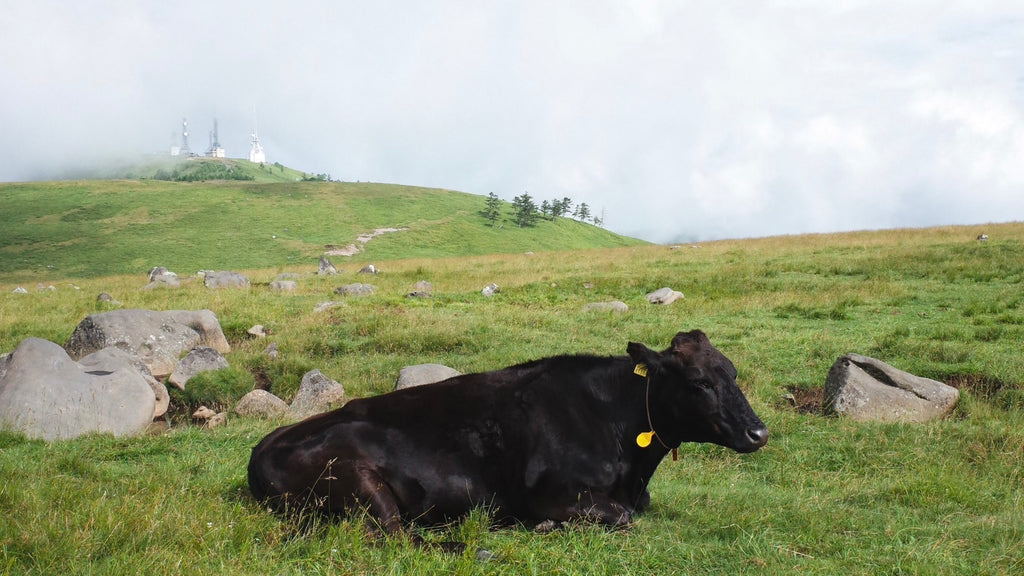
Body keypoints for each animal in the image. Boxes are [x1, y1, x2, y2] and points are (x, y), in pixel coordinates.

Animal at [247, 330, 770, 537]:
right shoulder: (549, 494)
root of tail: (258, 452)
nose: (759, 432)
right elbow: (622, 516)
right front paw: (547, 525)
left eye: (733, 373)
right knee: (395, 536)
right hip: (362, 486)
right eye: (699, 383)